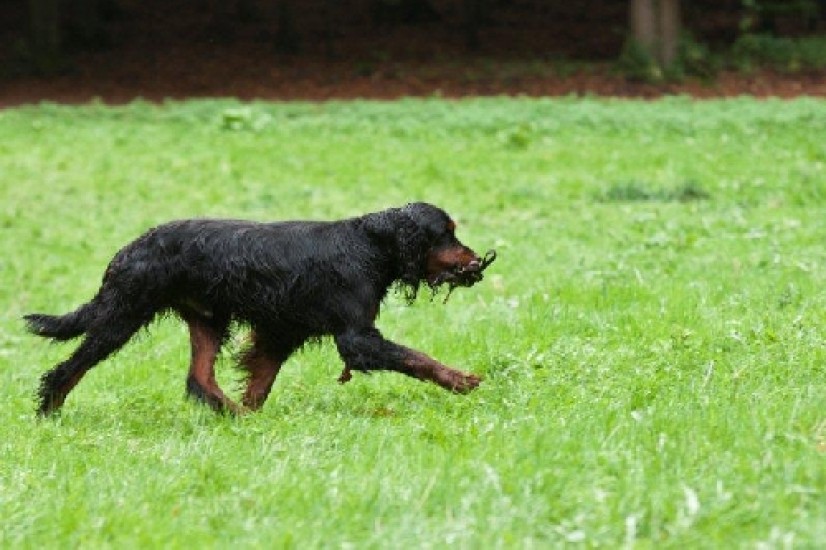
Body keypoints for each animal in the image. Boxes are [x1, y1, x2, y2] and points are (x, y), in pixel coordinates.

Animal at [25, 203, 496, 416]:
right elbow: (415, 357)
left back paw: (235, 417)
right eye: (446, 234)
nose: (476, 260)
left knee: (199, 378)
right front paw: (460, 380)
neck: (369, 245)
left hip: (209, 319)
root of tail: (130, 248)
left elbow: (261, 380)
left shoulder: (280, 332)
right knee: (70, 367)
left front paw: (253, 412)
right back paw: (49, 410)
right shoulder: (357, 338)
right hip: (122, 314)